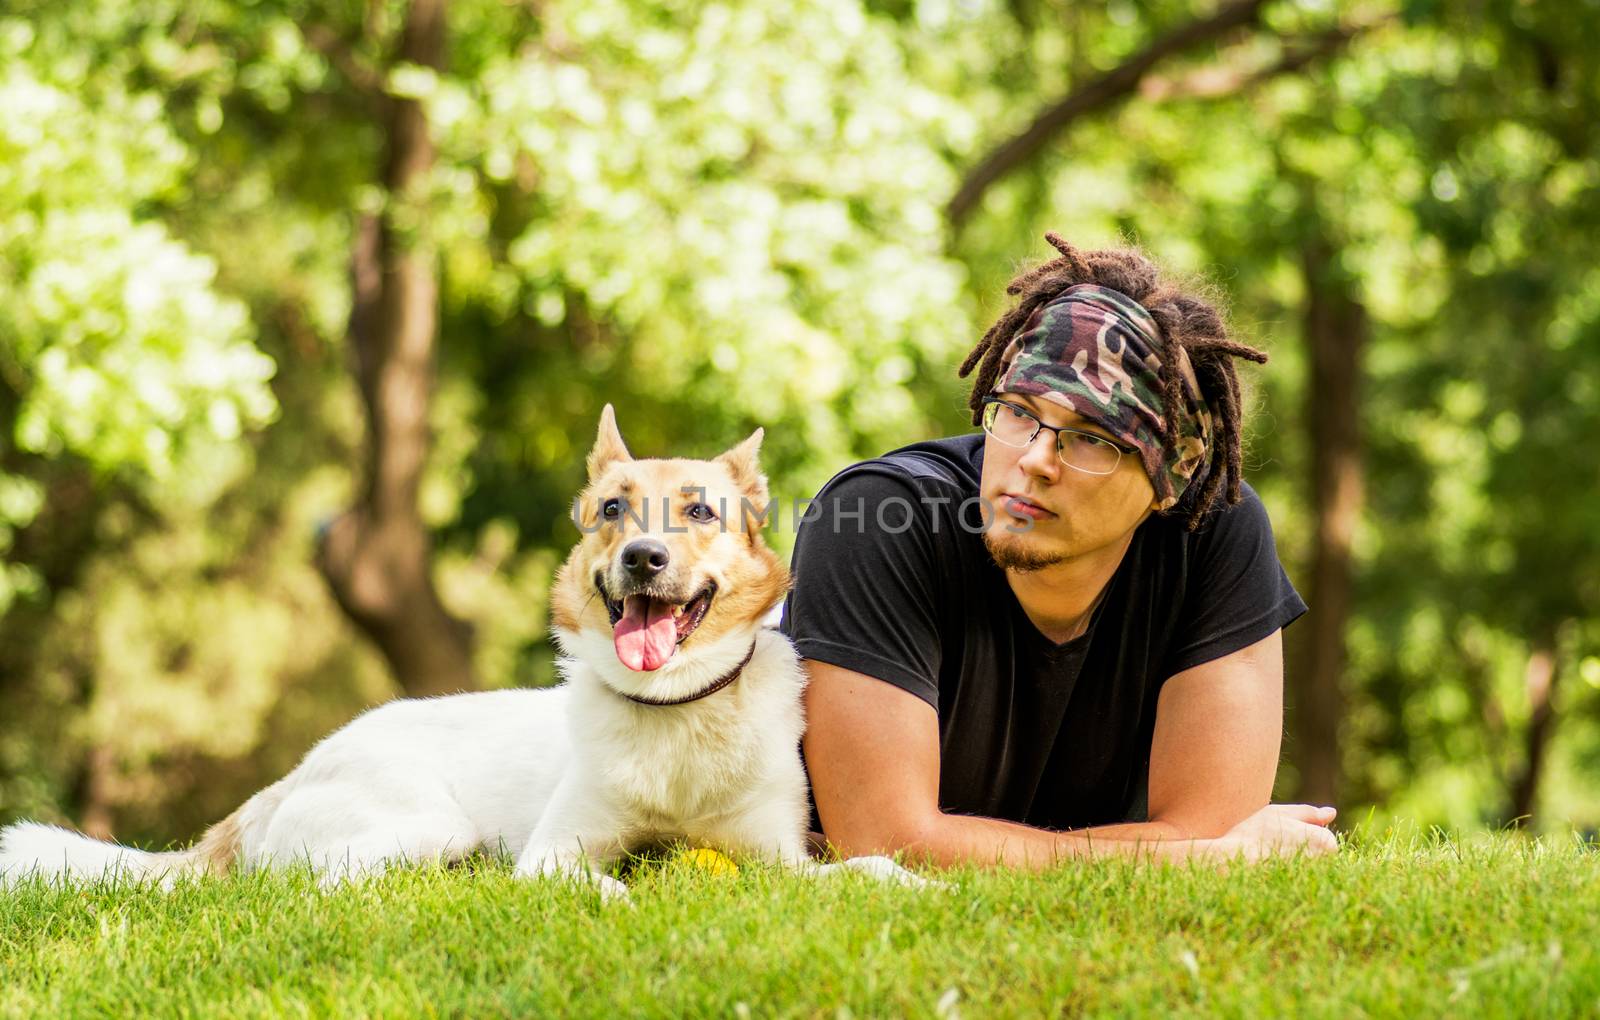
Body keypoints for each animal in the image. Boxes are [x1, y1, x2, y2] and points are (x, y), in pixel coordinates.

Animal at [0, 409, 921, 901]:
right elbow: (592, 880)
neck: (675, 712)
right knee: (312, 885)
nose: (643, 559)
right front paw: (625, 895)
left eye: (700, 511)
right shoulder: (557, 851)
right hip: (425, 822)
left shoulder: (781, 858)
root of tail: (284, 782)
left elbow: (865, 865)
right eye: (612, 510)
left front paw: (917, 885)